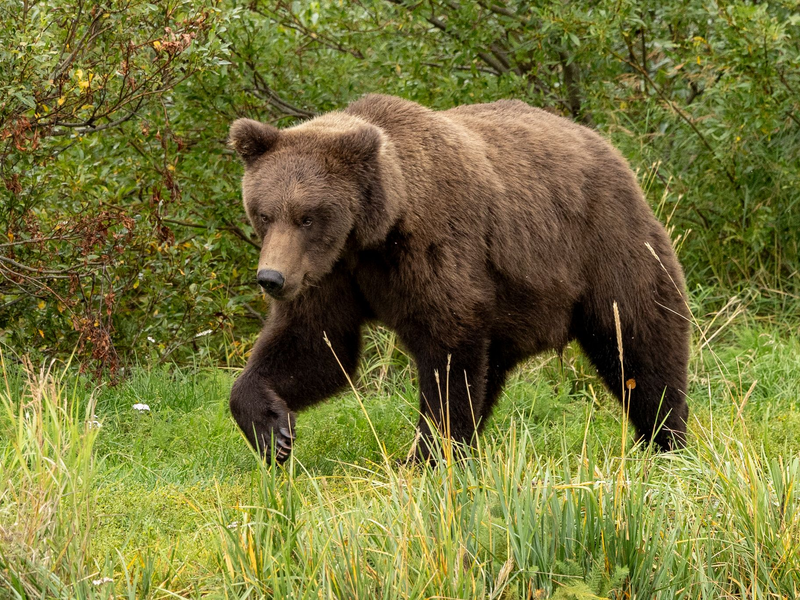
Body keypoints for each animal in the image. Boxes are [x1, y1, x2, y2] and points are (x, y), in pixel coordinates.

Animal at [227, 94, 690, 463]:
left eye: (307, 216)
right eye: (264, 213)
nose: (271, 278)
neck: (373, 234)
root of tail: (606, 146)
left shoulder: (433, 247)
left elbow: (447, 350)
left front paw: (428, 454)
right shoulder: (330, 273)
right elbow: (315, 345)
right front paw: (273, 432)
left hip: (603, 246)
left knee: (639, 340)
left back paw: (667, 439)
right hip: (515, 304)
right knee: (494, 369)